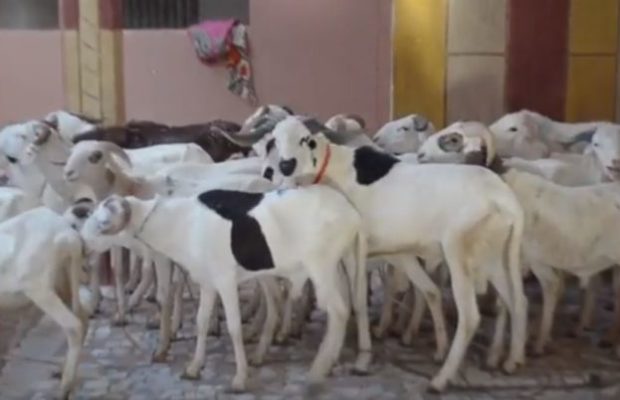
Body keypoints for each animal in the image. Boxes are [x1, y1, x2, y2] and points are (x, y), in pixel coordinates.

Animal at [81, 186, 372, 392]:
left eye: (102, 223)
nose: (82, 240)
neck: (183, 223)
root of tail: (353, 213)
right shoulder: (208, 284)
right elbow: (201, 322)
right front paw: (194, 367)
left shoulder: (225, 281)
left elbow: (234, 327)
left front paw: (240, 378)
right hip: (343, 264)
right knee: (348, 306)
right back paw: (328, 361)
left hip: (321, 267)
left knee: (338, 311)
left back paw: (318, 369)